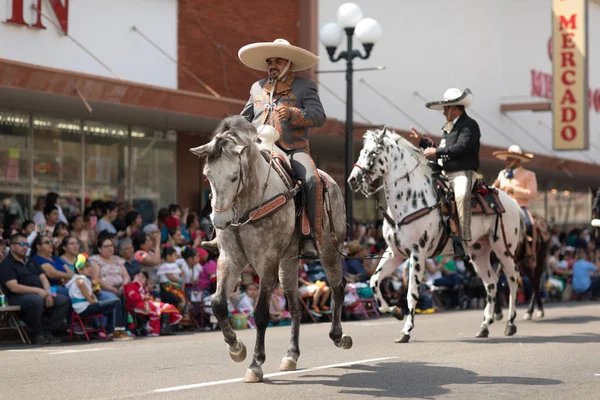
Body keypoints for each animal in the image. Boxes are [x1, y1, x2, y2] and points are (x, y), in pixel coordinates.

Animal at [190, 115, 352, 382]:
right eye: (207, 175)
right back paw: (291, 355)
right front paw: (236, 348)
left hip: (328, 250)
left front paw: (255, 364)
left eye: (234, 177)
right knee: (295, 306)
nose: (218, 221)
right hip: (288, 262)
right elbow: (218, 304)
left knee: (338, 288)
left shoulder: (267, 261)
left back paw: (339, 336)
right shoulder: (230, 259)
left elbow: (261, 314)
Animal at [346, 129, 524, 344]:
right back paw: (484, 327)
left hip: (503, 249)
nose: (352, 180)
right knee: (491, 284)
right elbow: (374, 281)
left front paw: (406, 331)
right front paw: (394, 311)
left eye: (372, 153)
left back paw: (510, 324)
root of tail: (513, 203)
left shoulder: (417, 253)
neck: (411, 200)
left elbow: (412, 293)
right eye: (361, 151)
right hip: (478, 252)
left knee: (513, 279)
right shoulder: (395, 253)